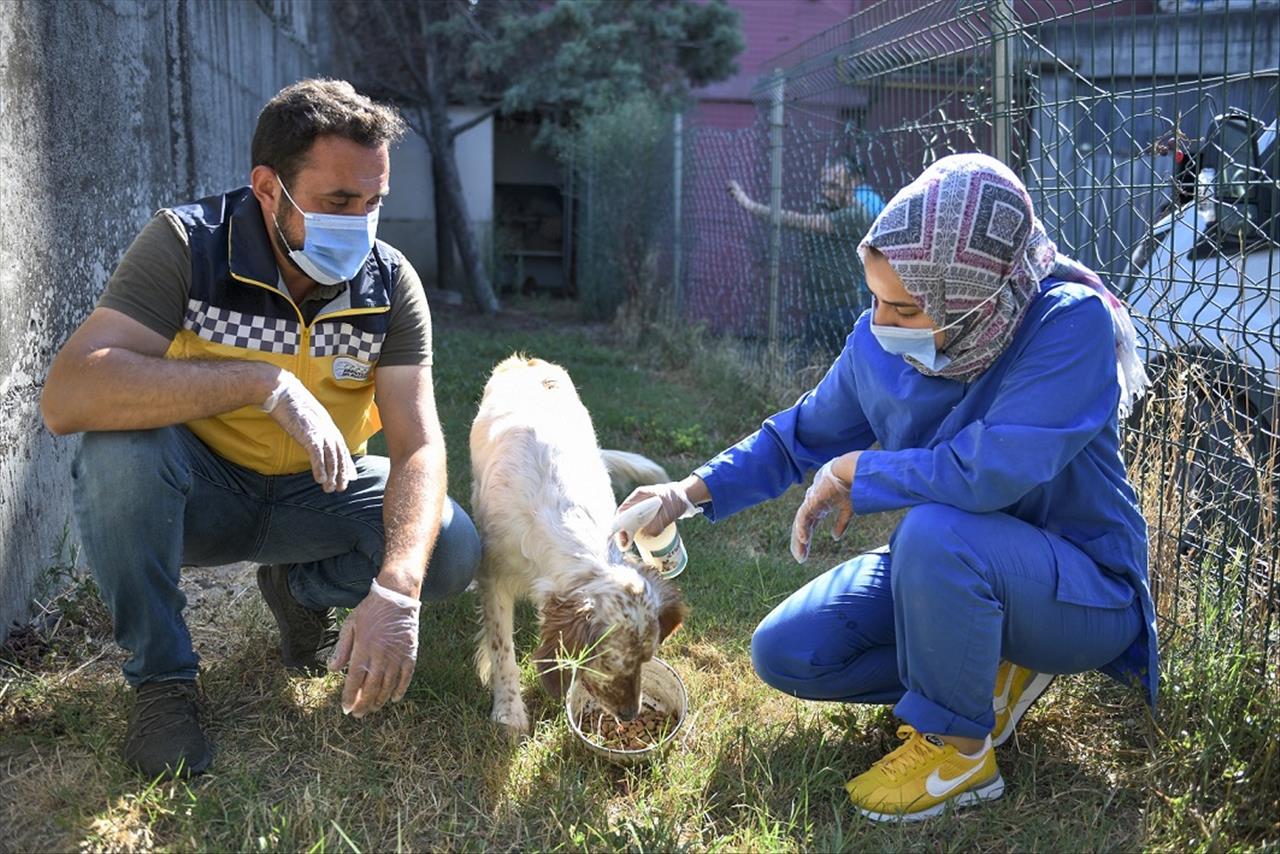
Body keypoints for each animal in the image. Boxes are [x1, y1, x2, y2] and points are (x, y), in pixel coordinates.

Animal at [471, 353, 691, 737]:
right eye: (608, 663)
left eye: (647, 658)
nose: (630, 715)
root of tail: (527, 359)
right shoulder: (494, 573)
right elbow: (502, 648)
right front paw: (509, 710)